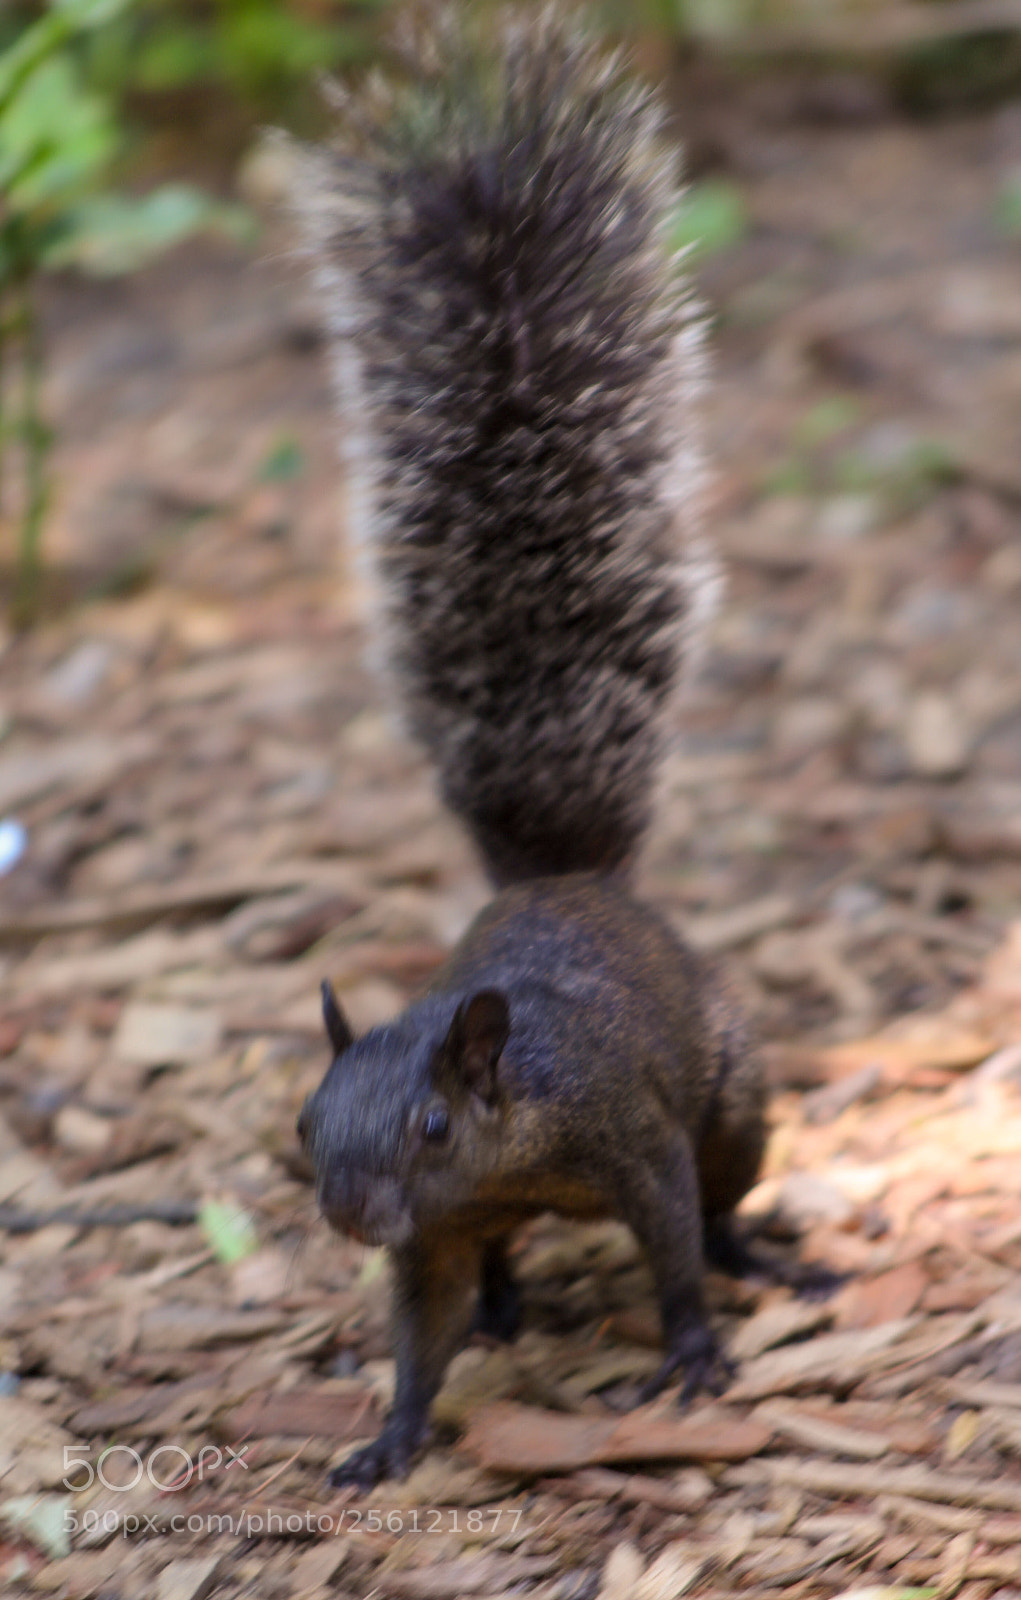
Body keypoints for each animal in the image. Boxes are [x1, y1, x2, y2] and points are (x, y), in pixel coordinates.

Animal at [294, 10, 797, 1490]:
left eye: (434, 1124)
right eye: (304, 1125)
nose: (351, 1215)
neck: (506, 1146)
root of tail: (568, 879)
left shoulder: (628, 1134)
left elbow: (675, 1241)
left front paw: (690, 1354)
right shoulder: (436, 1236)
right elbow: (420, 1325)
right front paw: (392, 1435)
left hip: (734, 1092)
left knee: (727, 1195)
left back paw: (766, 1260)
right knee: (506, 1268)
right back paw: (512, 1307)